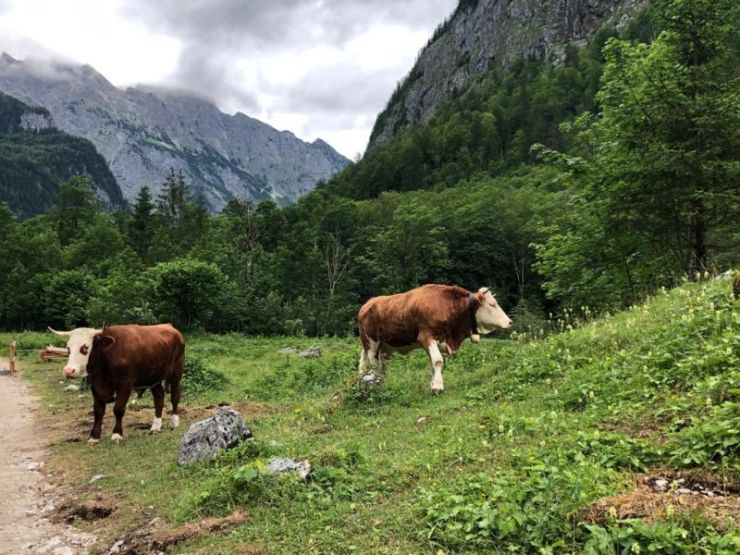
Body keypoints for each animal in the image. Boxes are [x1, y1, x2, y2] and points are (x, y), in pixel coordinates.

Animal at [49, 324, 185, 446]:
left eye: (85, 347)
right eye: (68, 348)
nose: (69, 371)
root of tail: (171, 328)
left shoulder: (125, 384)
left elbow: (118, 409)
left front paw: (117, 434)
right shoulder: (95, 385)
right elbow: (98, 411)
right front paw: (94, 437)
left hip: (176, 372)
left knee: (175, 397)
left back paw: (174, 422)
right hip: (153, 376)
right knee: (159, 398)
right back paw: (156, 427)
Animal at [360, 286, 516, 396]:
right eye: (492, 304)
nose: (510, 322)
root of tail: (368, 303)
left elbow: (434, 364)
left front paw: (433, 385)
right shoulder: (426, 337)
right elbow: (438, 361)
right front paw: (437, 387)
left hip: (385, 347)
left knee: (381, 367)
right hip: (371, 344)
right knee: (375, 367)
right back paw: (376, 388)